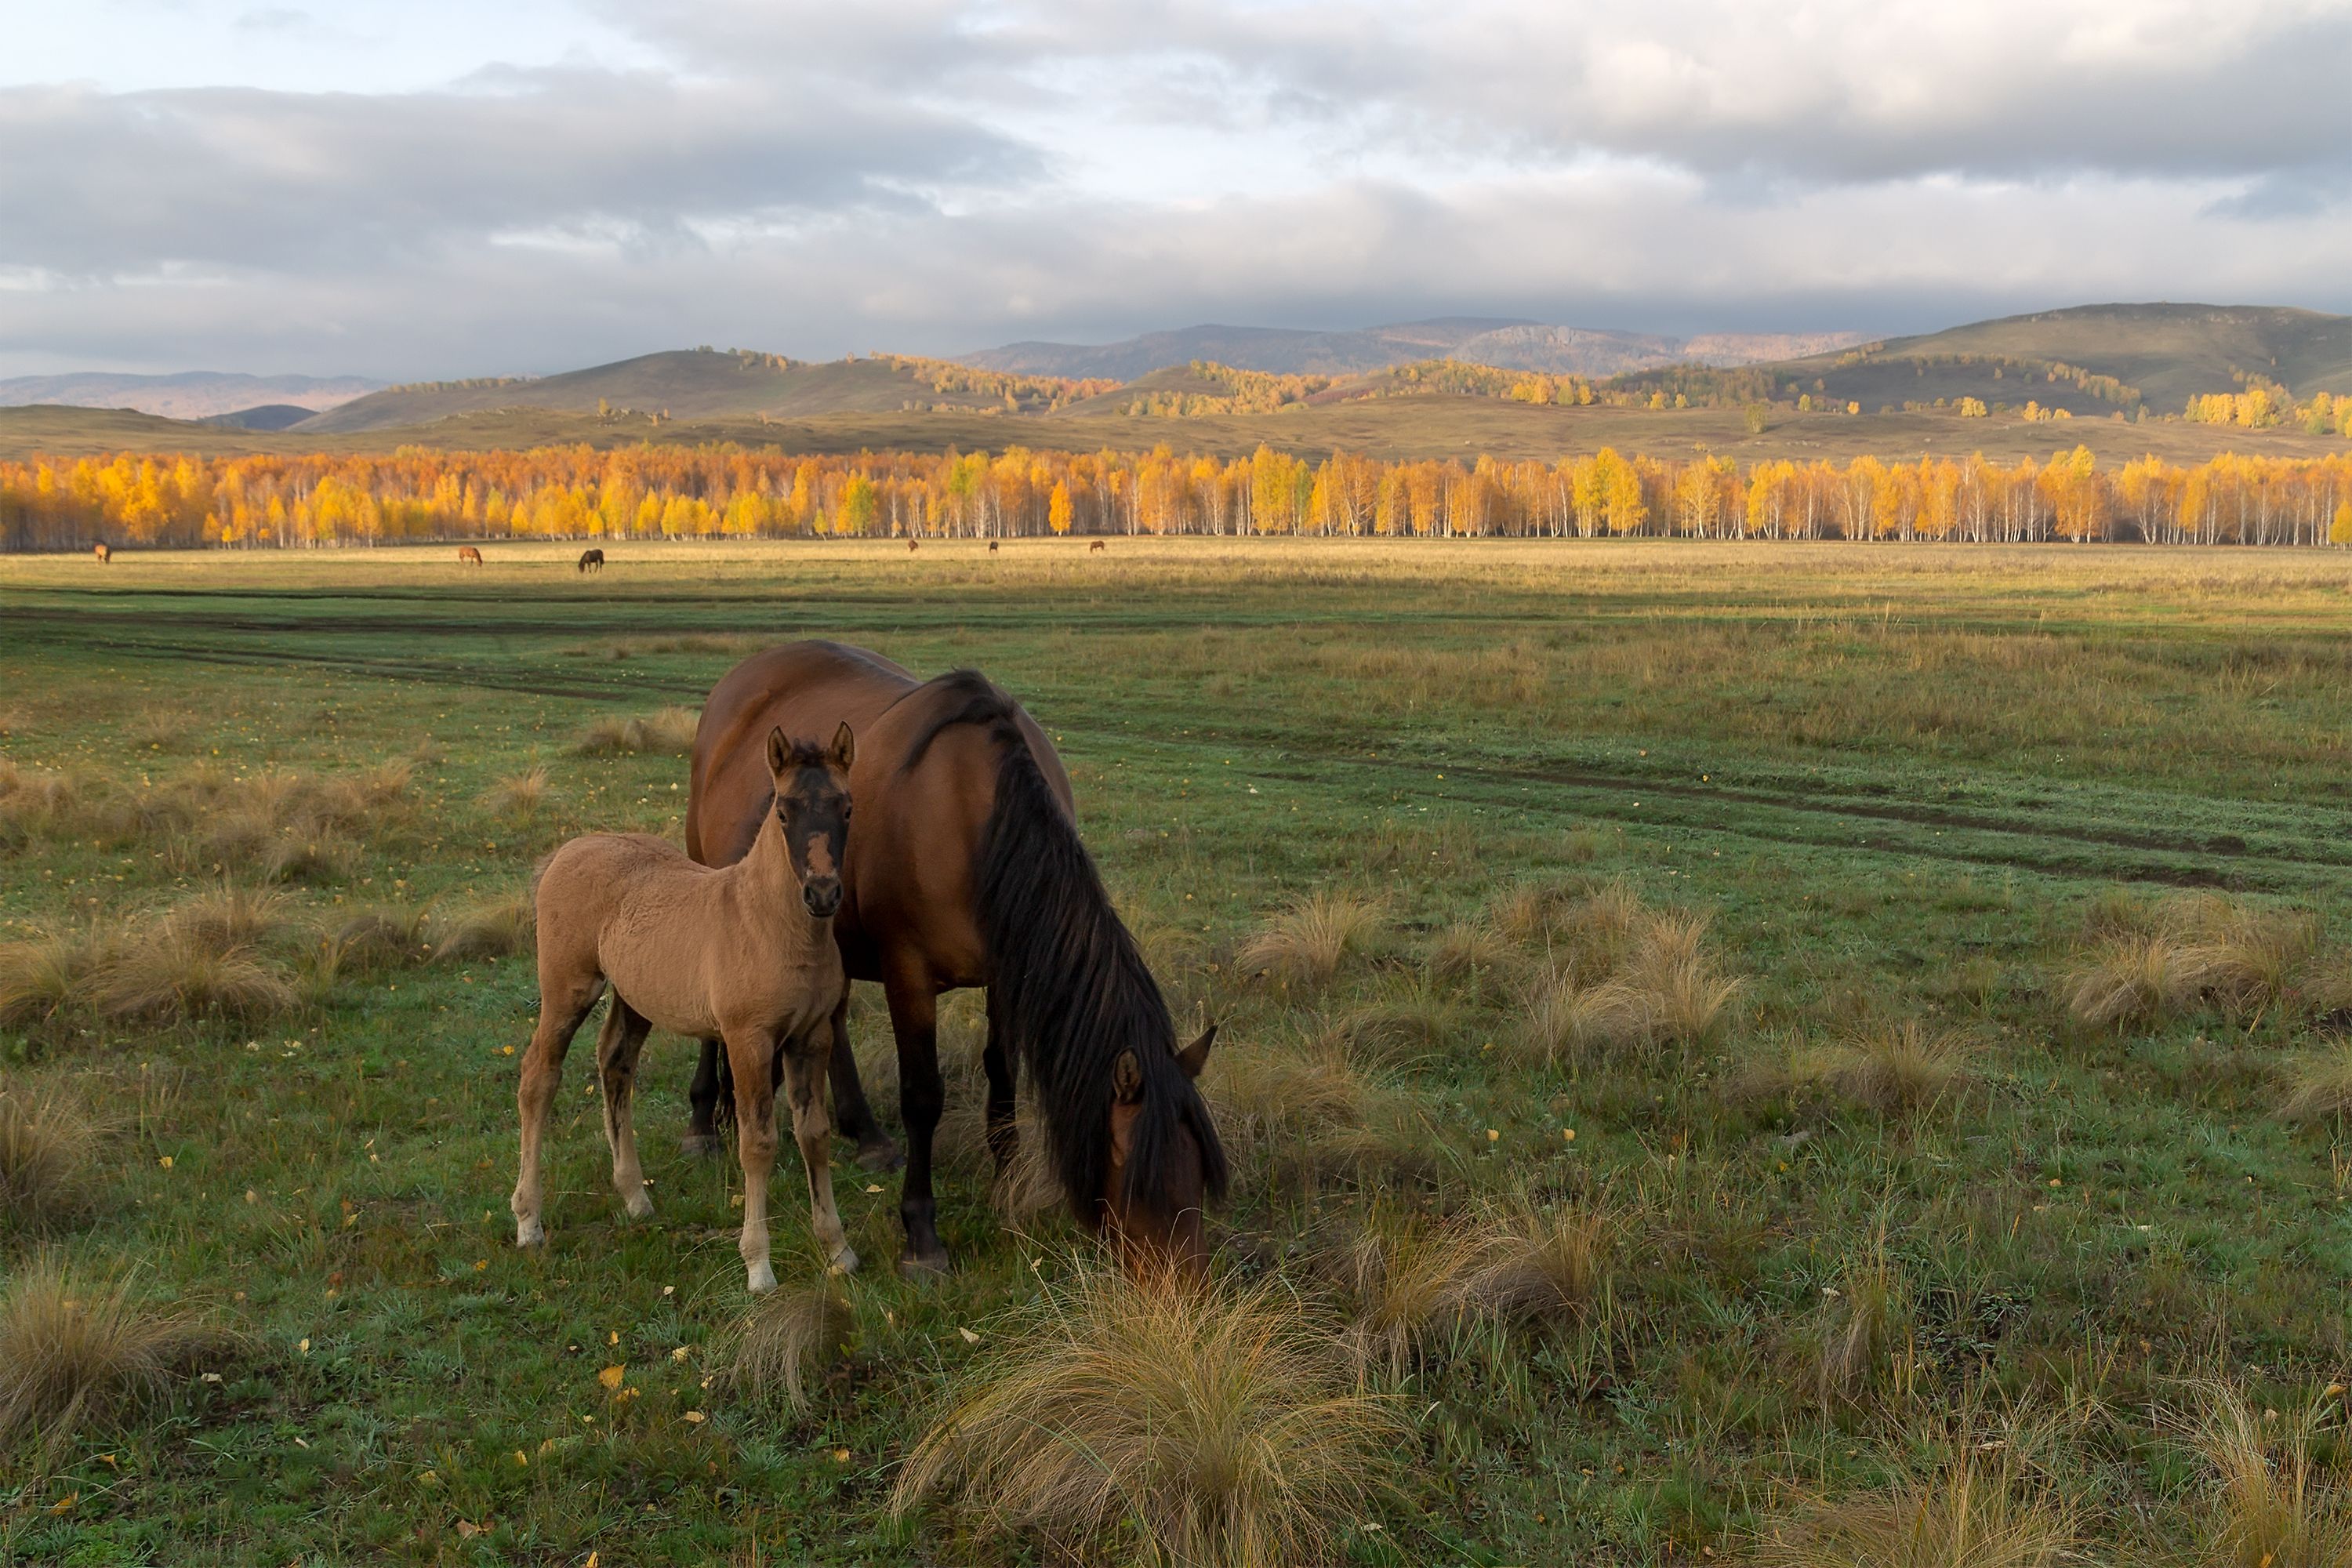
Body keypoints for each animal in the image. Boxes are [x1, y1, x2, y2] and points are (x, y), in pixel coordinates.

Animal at [510, 724, 861, 1288]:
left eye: (846, 808)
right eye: (784, 812)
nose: (823, 893)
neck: (770, 924)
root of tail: (570, 848)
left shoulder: (813, 1037)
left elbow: (815, 1135)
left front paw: (837, 1250)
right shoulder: (747, 1040)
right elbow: (758, 1143)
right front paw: (758, 1267)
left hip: (634, 997)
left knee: (615, 1064)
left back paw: (635, 1198)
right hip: (569, 988)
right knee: (538, 1076)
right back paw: (529, 1222)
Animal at [687, 644, 1223, 1279]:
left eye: (1197, 1168)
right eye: (1135, 1172)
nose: (1188, 1287)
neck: (973, 818)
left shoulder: (1006, 976)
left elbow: (1003, 1075)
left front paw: (1008, 1185)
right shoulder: (908, 976)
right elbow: (923, 1096)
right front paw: (921, 1235)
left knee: (833, 1019)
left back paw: (866, 1135)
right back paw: (704, 1120)